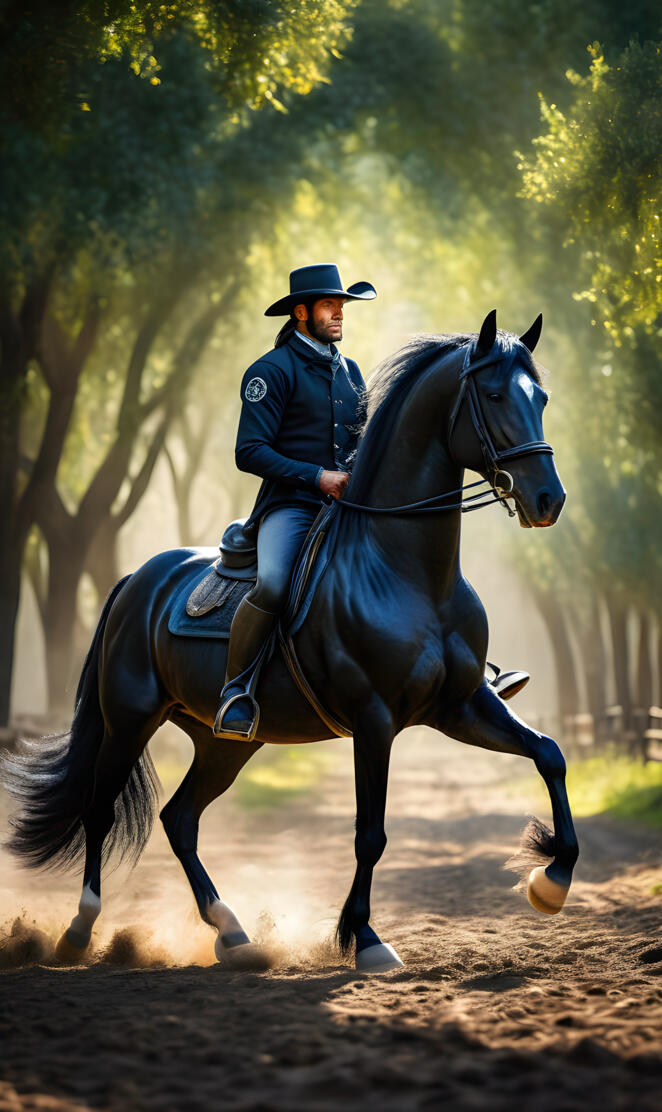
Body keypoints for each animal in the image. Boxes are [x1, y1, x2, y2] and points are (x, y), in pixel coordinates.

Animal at [3, 309, 578, 973]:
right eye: (494, 395)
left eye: (542, 397)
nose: (549, 499)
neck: (405, 570)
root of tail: (136, 581)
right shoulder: (374, 720)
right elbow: (370, 832)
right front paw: (365, 937)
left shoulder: (461, 706)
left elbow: (549, 754)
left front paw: (551, 879)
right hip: (129, 720)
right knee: (99, 809)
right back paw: (78, 931)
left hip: (224, 742)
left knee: (181, 818)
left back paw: (233, 934)